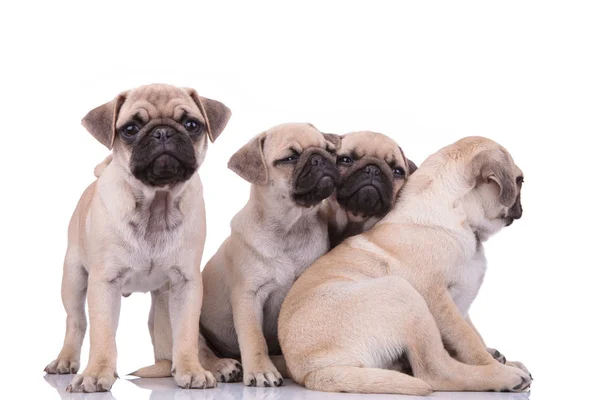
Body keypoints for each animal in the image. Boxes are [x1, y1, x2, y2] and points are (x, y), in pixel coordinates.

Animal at [43, 83, 231, 392]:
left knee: (167, 344)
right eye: (130, 129)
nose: (163, 132)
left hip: (163, 304)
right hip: (73, 277)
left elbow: (186, 334)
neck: (157, 205)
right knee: (76, 321)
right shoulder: (103, 283)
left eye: (192, 125)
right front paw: (96, 373)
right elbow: (102, 334)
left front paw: (191, 370)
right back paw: (65, 360)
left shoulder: (186, 284)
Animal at [134, 122, 342, 388]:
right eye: (290, 158)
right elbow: (254, 339)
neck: (292, 227)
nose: (320, 159)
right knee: (199, 351)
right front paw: (262, 370)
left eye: (330, 151)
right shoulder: (248, 298)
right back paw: (223, 367)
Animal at [278, 137, 532, 394]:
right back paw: (503, 377)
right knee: (436, 371)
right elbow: (468, 340)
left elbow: (475, 336)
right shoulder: (439, 301)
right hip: (403, 294)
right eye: (519, 181)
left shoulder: (461, 305)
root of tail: (310, 372)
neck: (457, 212)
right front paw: (495, 365)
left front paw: (502, 359)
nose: (521, 207)